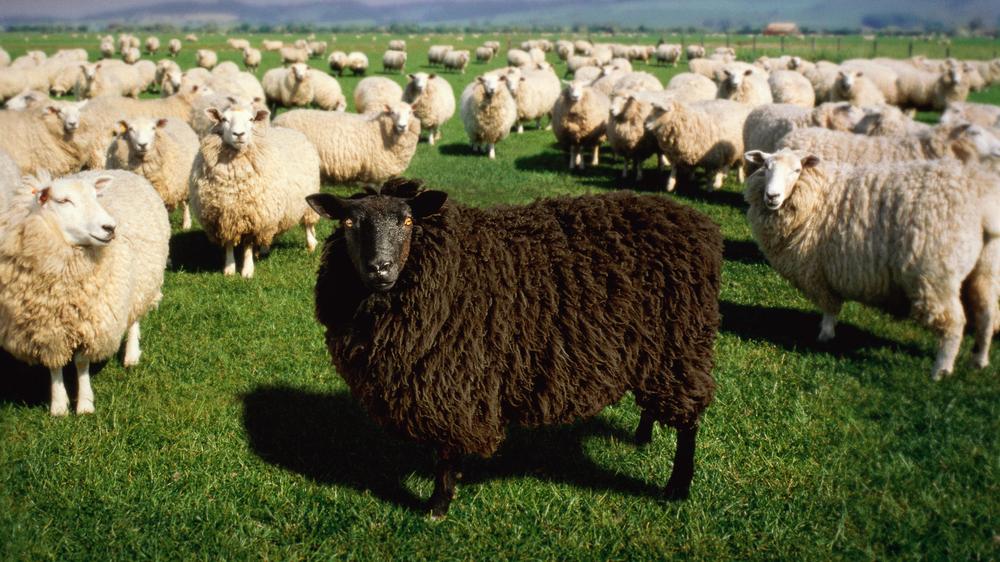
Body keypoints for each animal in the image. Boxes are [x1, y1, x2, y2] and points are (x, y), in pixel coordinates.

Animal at [0, 169, 169, 415]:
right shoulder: (47, 328)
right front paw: (59, 406)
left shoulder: (90, 321)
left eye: (95, 196)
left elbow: (81, 362)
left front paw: (85, 404)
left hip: (141, 282)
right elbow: (54, 365)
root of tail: (123, 171)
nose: (110, 227)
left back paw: (131, 355)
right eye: (63, 201)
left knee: (134, 319)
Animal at [190, 105, 320, 278]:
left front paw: (247, 270)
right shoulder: (225, 216)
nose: (239, 134)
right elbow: (230, 243)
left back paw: (311, 244)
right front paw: (229, 269)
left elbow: (247, 245)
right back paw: (264, 249)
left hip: (306, 203)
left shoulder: (253, 216)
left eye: (251, 119)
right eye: (224, 119)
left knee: (308, 225)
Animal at [306, 181, 721, 517]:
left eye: (407, 222)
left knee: (689, 422)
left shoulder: (455, 380)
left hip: (681, 345)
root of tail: (697, 223)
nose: (380, 268)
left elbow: (445, 451)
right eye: (348, 223)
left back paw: (678, 486)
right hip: (655, 350)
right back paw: (643, 436)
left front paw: (438, 505)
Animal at [743, 149, 999, 379]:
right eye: (766, 167)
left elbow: (829, 307)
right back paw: (979, 360)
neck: (818, 196)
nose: (772, 196)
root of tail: (982, 210)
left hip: (936, 276)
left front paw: (825, 335)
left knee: (954, 324)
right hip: (985, 270)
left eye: (797, 170)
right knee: (986, 315)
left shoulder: (819, 272)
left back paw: (941, 370)